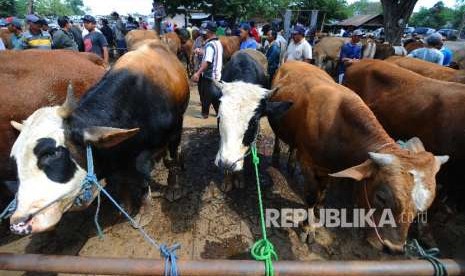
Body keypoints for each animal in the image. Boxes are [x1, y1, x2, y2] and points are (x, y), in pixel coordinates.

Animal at [8, 41, 188, 235]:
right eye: (15, 160)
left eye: (52, 153)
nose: (19, 223)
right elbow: (121, 181)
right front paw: (125, 208)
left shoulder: (165, 139)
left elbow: (149, 175)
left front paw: (157, 201)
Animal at [270, 61, 448, 251]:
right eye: (381, 197)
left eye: (420, 211)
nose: (393, 248)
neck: (337, 127)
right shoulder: (308, 163)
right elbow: (312, 196)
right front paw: (308, 227)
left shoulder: (329, 169)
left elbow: (322, 193)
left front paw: (318, 213)